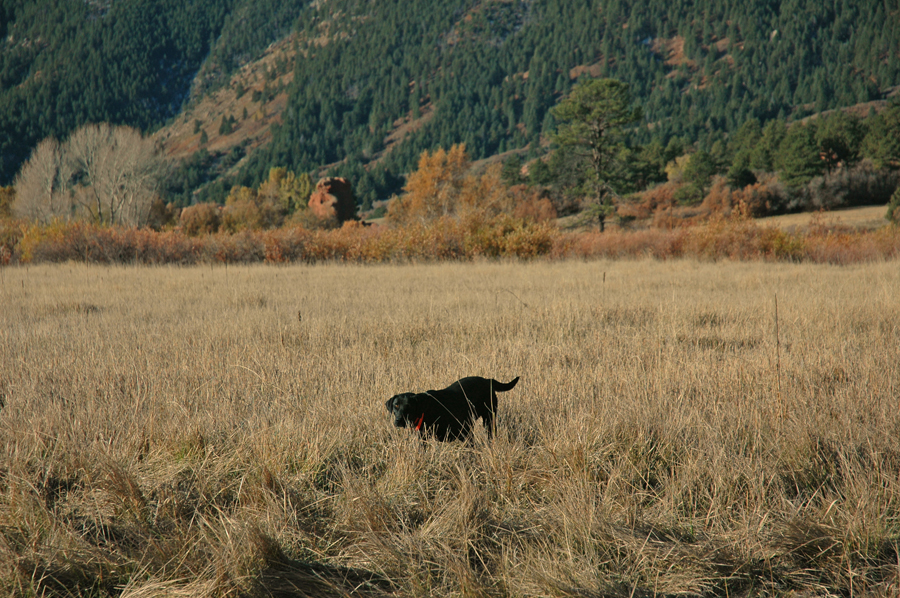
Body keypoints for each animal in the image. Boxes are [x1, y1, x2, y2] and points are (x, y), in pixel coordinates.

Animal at [386, 378, 520, 442]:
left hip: (489, 419)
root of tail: (487, 380)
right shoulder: (423, 438)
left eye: (409, 406)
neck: (428, 409)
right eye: (396, 405)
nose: (398, 421)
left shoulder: (465, 432)